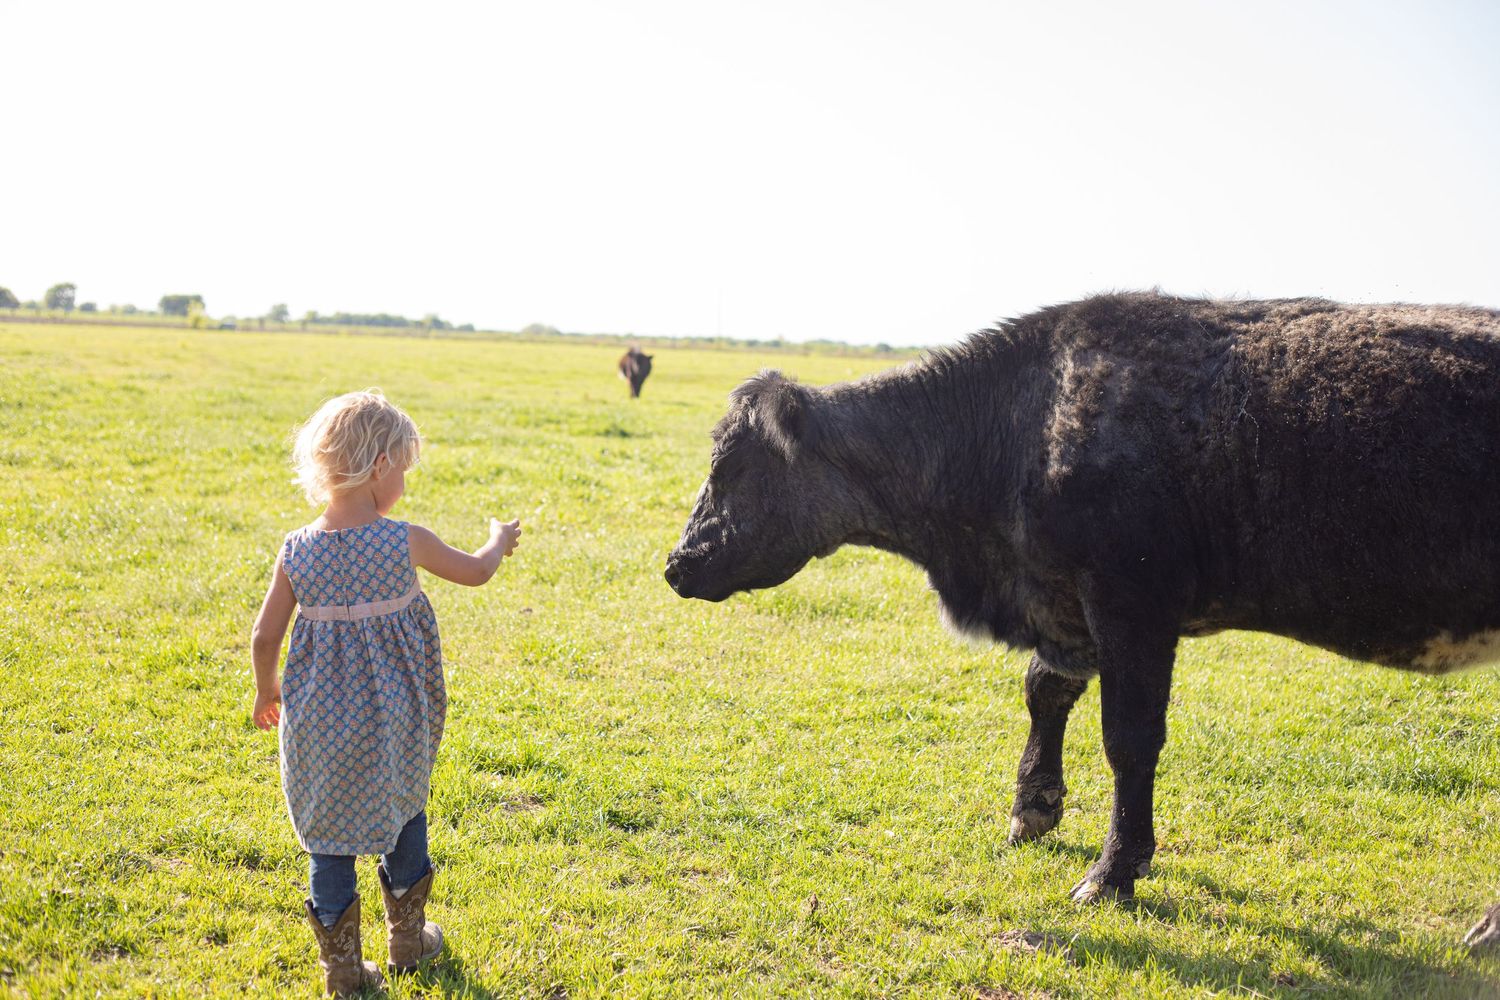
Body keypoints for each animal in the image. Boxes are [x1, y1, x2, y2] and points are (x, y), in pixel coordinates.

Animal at [664, 292, 1500, 947]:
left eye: (730, 468)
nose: (676, 564)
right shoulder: (1070, 606)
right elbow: (1045, 689)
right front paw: (1033, 808)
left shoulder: (1133, 602)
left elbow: (1128, 740)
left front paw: (1113, 872)